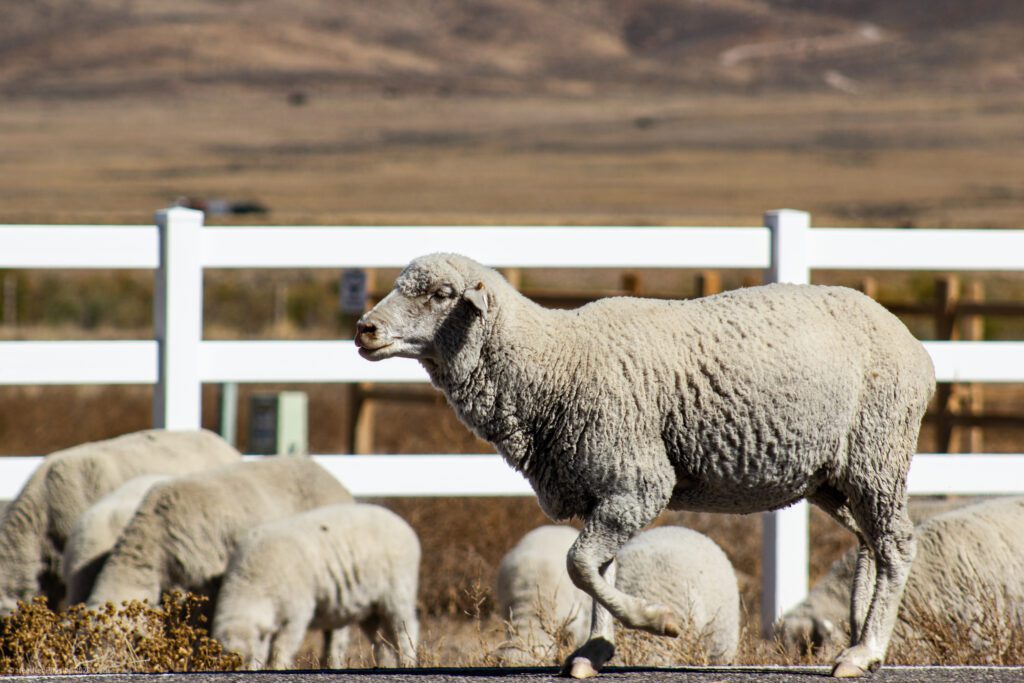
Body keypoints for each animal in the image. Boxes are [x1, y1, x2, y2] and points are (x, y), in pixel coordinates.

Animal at [213, 503, 420, 670]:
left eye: (248, 657)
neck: (252, 581)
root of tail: (401, 522)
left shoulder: (297, 614)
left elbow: (281, 649)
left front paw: (279, 667)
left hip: (398, 591)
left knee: (405, 631)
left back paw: (408, 662)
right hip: (371, 608)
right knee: (382, 643)